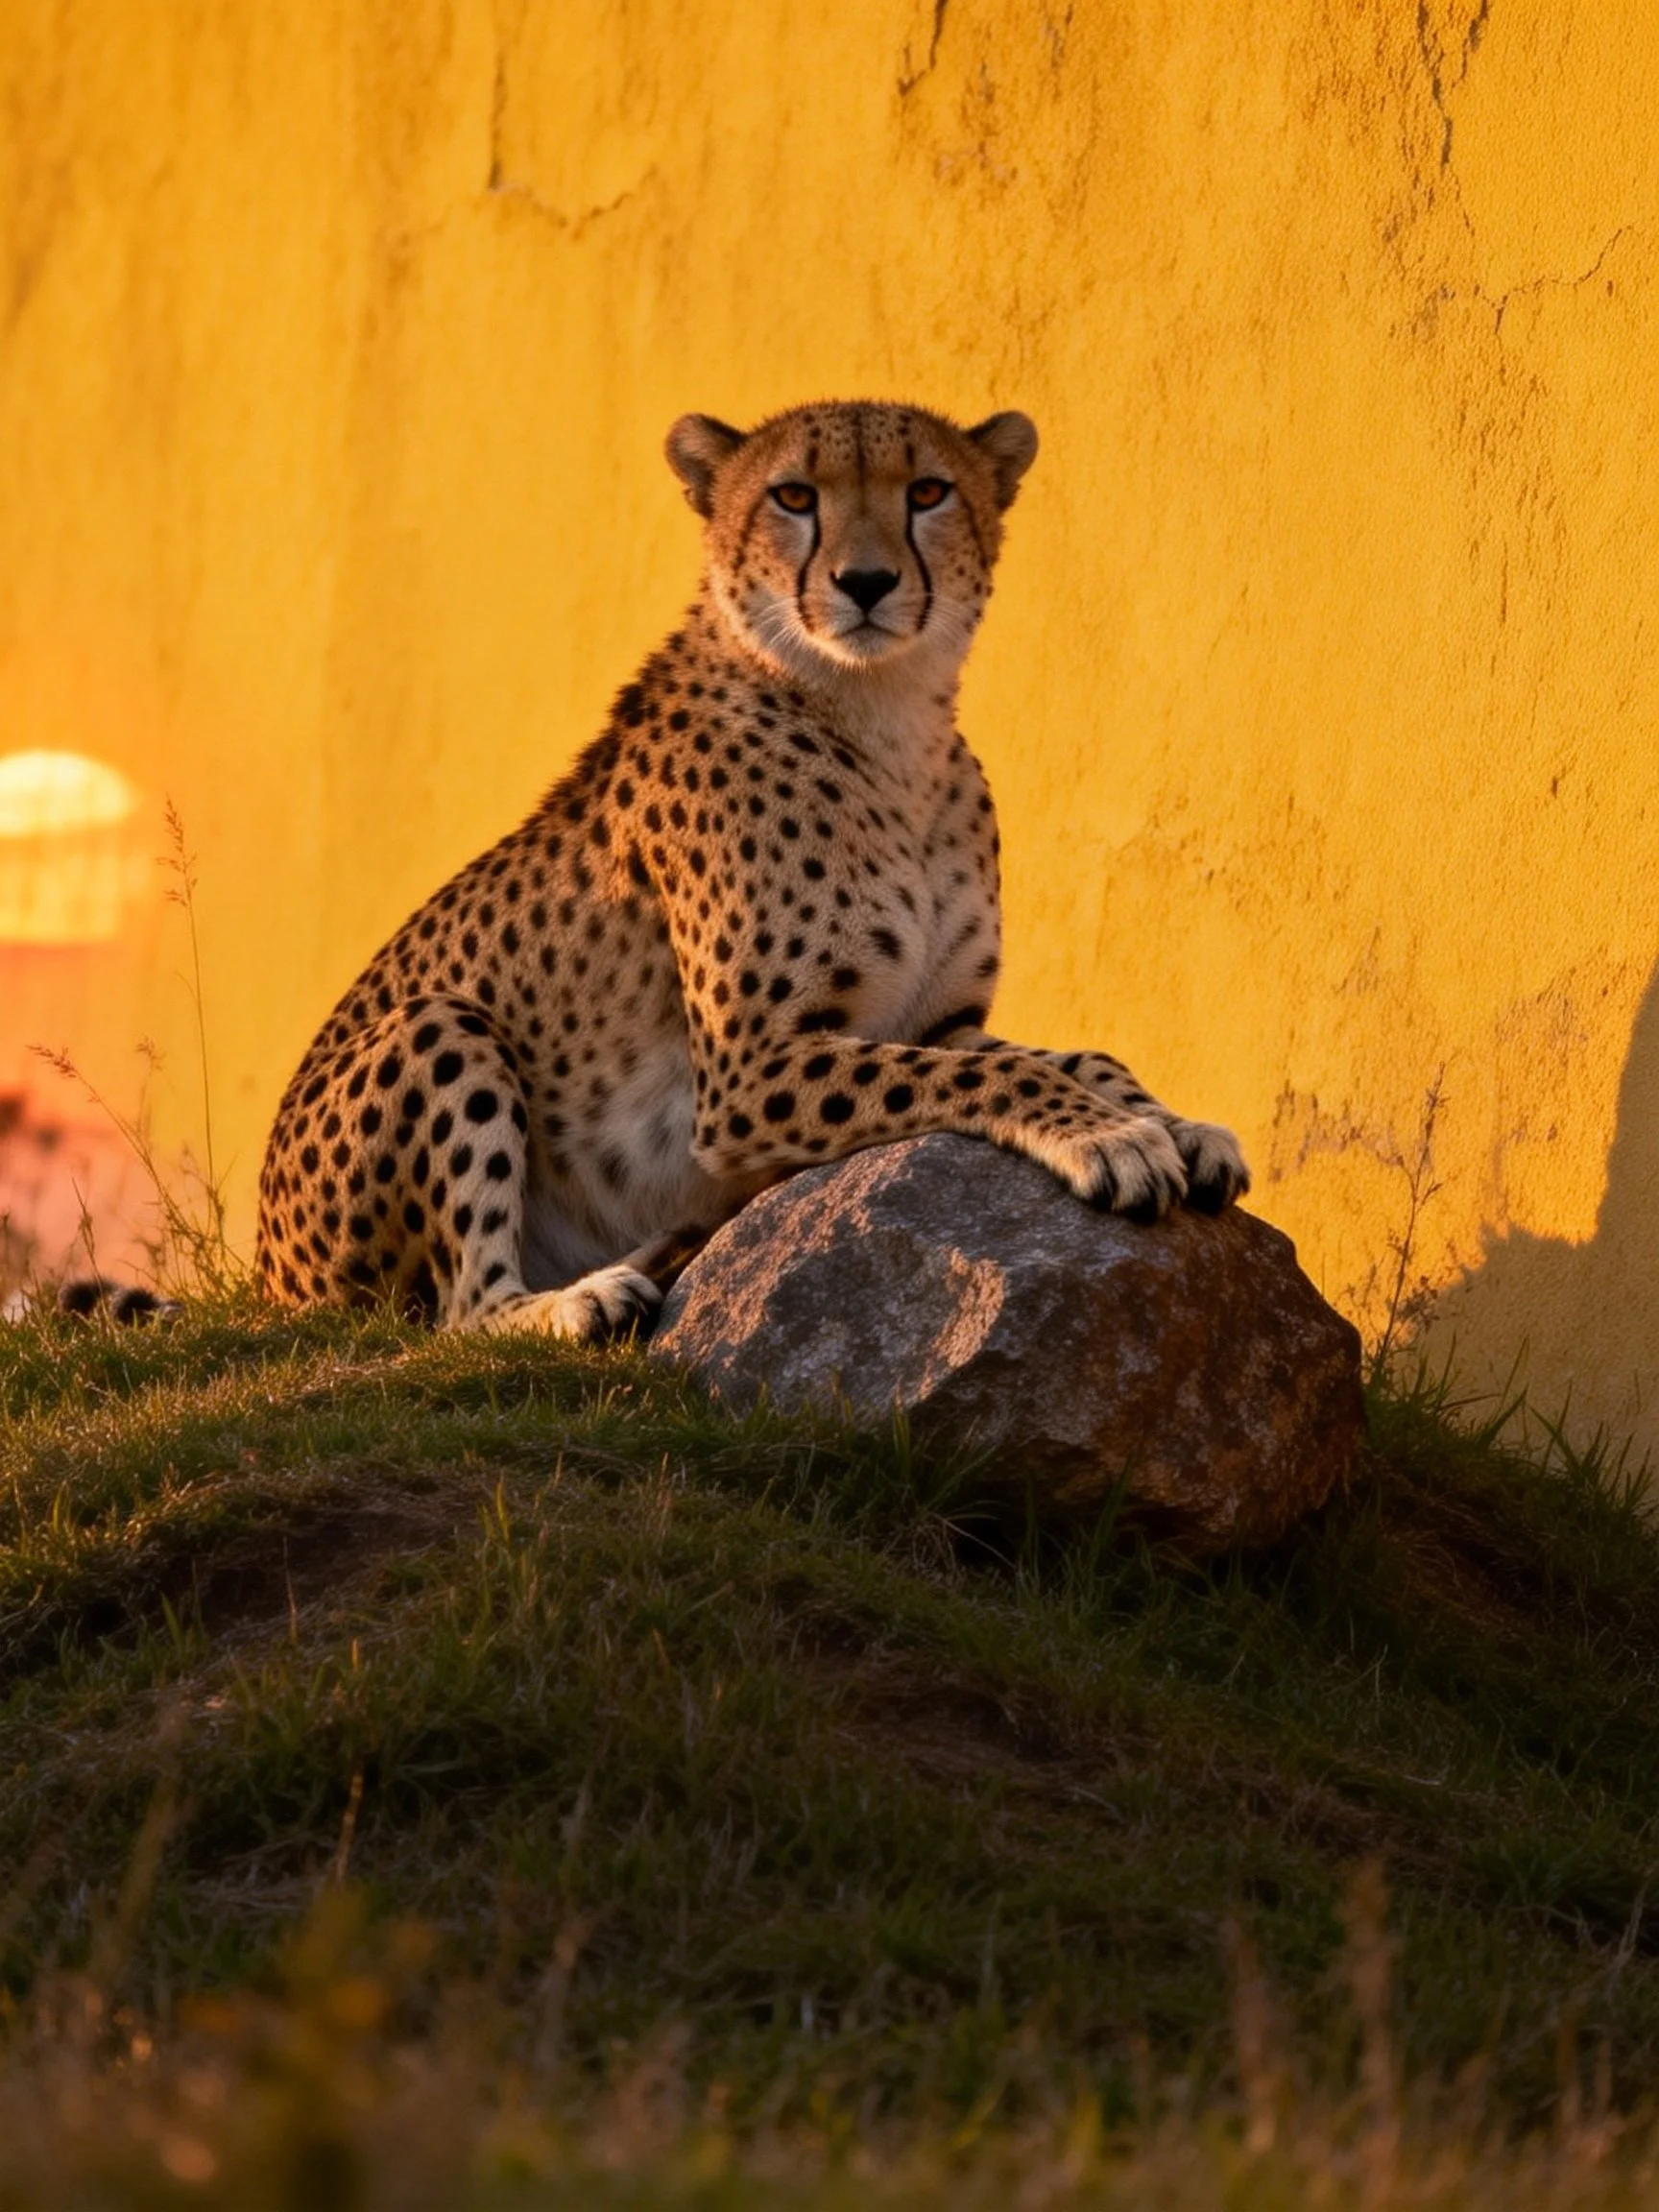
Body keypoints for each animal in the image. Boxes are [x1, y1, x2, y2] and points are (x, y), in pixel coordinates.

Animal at [243, 398, 1248, 1340]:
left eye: (928, 491)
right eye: (794, 498)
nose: (866, 581)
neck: (886, 721)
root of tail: (263, 1281)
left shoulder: (935, 1020)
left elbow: (1076, 1054)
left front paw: (1176, 1125)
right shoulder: (744, 1073)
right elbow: (997, 1078)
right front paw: (1112, 1138)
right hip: (437, 1024)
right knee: (460, 1309)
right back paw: (580, 1300)